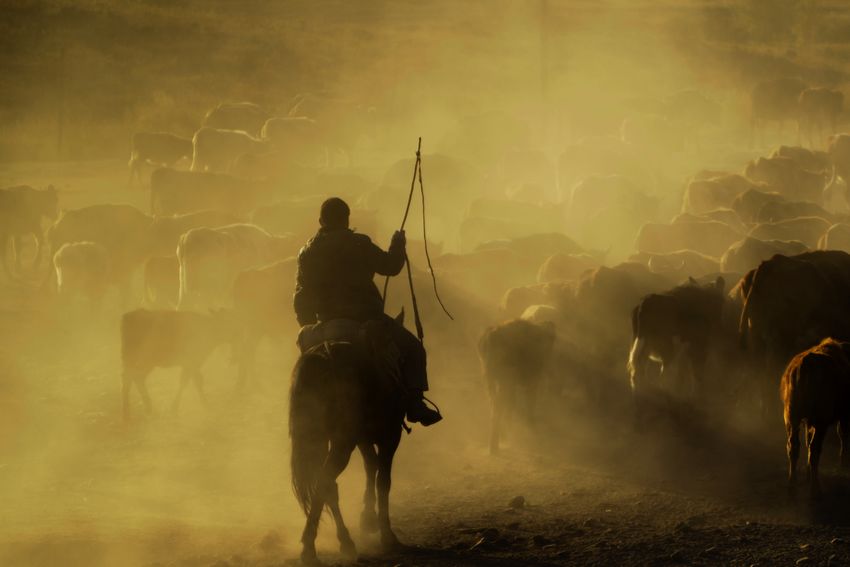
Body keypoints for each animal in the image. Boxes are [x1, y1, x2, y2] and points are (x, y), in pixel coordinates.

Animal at [290, 320, 406, 564]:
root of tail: (324, 356)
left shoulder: (363, 439)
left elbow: (370, 466)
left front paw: (368, 518)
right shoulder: (390, 437)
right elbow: (384, 481)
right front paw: (387, 535)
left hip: (322, 439)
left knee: (328, 486)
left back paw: (343, 541)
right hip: (342, 443)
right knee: (325, 481)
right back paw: (310, 547)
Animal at [476, 320, 556, 458]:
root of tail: (492, 335)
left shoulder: (512, 385)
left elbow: (511, 406)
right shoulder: (531, 382)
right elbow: (529, 405)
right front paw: (530, 430)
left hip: (490, 379)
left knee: (494, 405)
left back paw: (496, 444)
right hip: (503, 380)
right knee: (498, 407)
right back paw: (494, 447)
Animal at [780, 338, 848, 496]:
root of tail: (806, 362)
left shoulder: (807, 421)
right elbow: (843, 435)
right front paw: (843, 463)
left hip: (791, 417)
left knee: (794, 446)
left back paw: (792, 485)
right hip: (820, 420)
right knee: (815, 449)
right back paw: (815, 489)